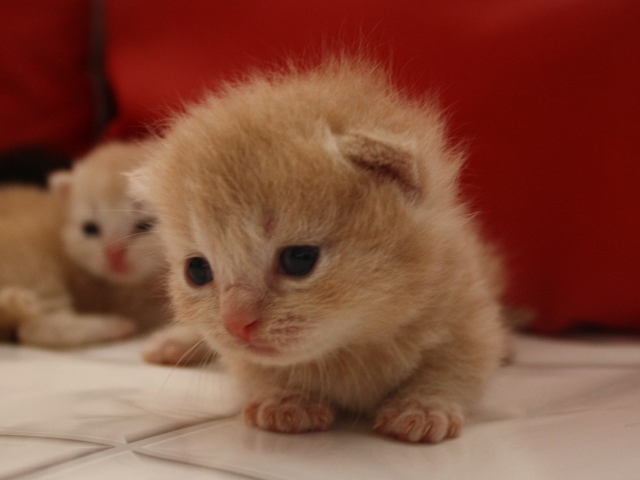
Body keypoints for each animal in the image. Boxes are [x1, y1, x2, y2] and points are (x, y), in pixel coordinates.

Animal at [0, 141, 170, 346]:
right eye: (90, 228)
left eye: (145, 224)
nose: (114, 255)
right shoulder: (126, 303)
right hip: (35, 267)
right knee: (31, 328)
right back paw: (110, 326)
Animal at [131, 58, 510, 444]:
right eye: (198, 270)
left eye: (299, 259)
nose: (236, 323)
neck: (351, 341)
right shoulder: (243, 355)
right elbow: (257, 370)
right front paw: (286, 400)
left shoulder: (466, 315)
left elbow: (456, 369)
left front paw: (423, 406)